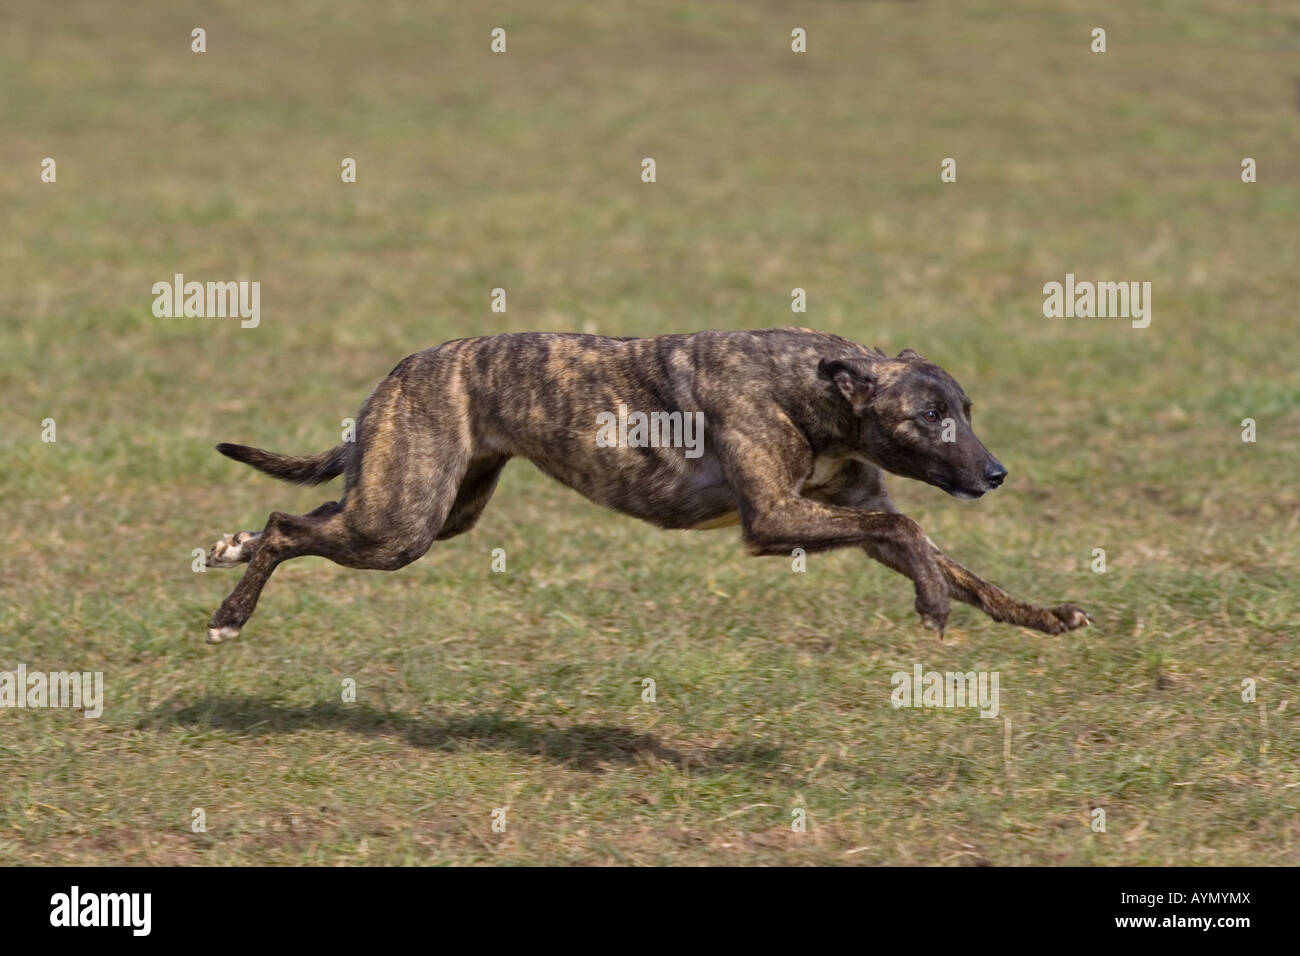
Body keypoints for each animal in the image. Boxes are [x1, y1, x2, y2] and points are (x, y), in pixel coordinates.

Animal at [205, 327, 1097, 642]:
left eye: (966, 410)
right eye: (928, 415)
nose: (995, 473)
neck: (808, 384)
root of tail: (398, 369)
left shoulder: (847, 511)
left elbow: (958, 567)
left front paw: (1047, 615)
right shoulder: (775, 520)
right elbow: (914, 537)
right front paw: (932, 603)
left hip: (428, 508)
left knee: (312, 513)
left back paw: (231, 547)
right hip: (402, 524)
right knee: (289, 523)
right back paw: (229, 613)